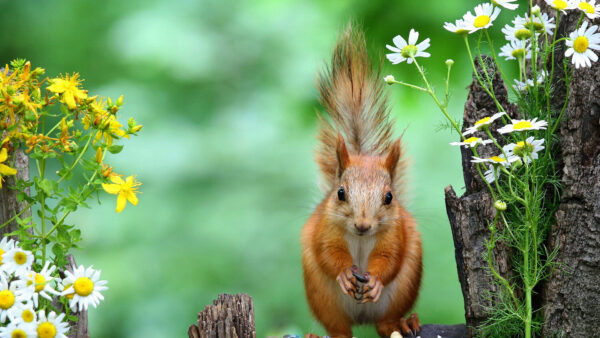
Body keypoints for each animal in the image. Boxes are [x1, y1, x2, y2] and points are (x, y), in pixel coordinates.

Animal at [300, 23, 422, 338]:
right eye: (340, 193)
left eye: (389, 197)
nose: (363, 225)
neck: (360, 238)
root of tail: (363, 319)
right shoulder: (326, 228)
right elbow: (328, 253)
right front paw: (345, 273)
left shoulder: (396, 234)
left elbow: (390, 259)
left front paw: (376, 280)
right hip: (322, 297)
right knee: (339, 329)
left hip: (403, 290)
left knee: (386, 323)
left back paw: (405, 324)